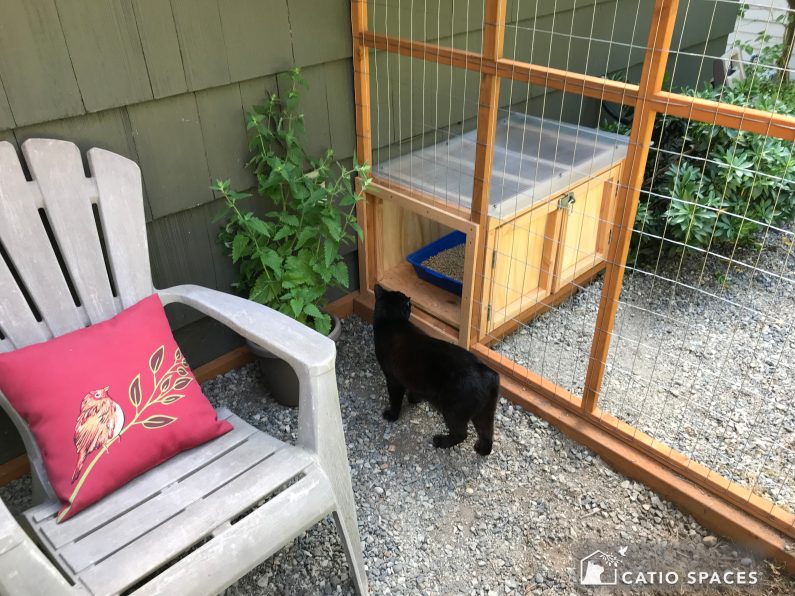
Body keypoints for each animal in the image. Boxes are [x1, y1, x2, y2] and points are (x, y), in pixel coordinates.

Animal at [372, 284, 498, 456]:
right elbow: (414, 391)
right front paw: (414, 400)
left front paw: (392, 415)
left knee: (461, 433)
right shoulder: (412, 379)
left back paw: (440, 441)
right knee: (487, 434)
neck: (392, 322)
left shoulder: (393, 380)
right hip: (484, 414)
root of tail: (487, 372)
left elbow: (395, 401)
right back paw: (480, 449)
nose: (411, 302)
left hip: (453, 410)